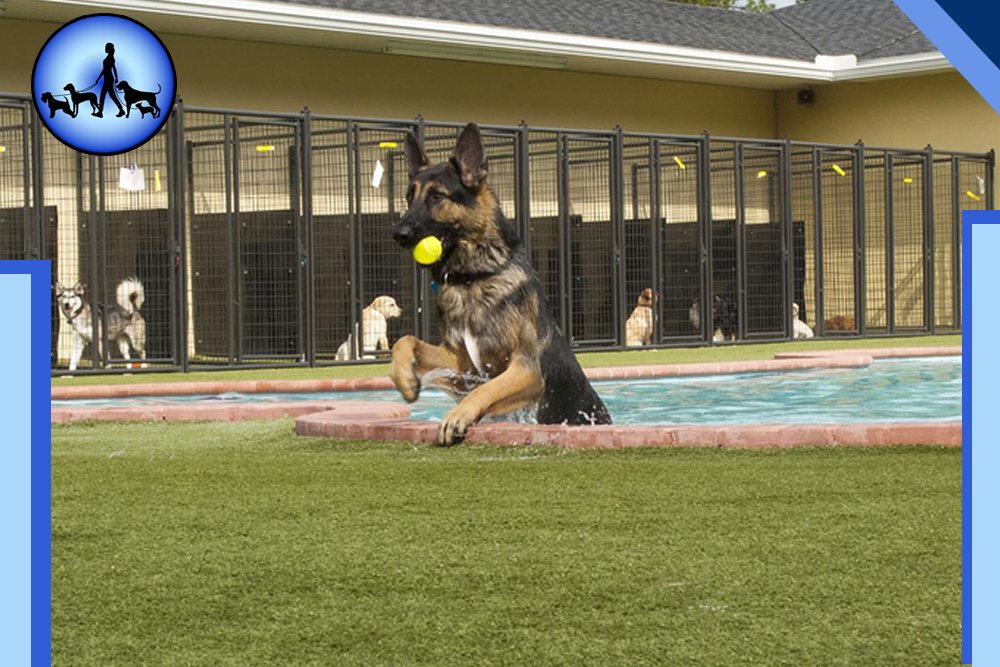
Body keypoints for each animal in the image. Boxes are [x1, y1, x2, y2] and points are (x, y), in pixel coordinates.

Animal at [388, 124, 608, 448]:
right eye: (408, 197)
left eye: (437, 196)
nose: (398, 233)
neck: (474, 277)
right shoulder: (460, 363)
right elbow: (404, 340)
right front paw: (404, 378)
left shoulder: (526, 371)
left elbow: (486, 389)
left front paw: (457, 416)